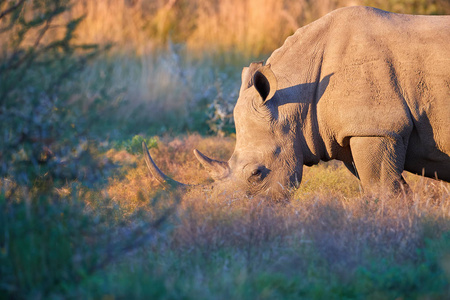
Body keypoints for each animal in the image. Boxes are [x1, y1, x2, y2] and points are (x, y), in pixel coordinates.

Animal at [144, 6, 450, 199]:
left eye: (256, 174)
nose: (231, 215)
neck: (293, 103)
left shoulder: (376, 128)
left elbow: (383, 190)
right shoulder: (353, 131)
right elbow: (390, 189)